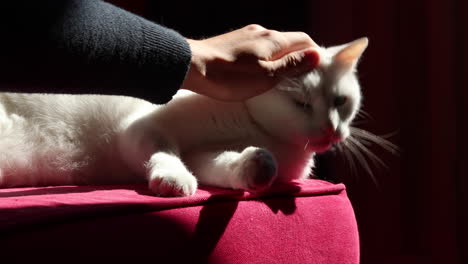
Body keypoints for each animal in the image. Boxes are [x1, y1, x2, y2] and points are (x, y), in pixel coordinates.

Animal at [0, 38, 370, 197]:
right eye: (301, 104)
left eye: (340, 101)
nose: (332, 130)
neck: (256, 127)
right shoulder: (142, 129)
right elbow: (164, 153)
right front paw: (173, 179)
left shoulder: (203, 154)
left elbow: (224, 166)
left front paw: (258, 166)